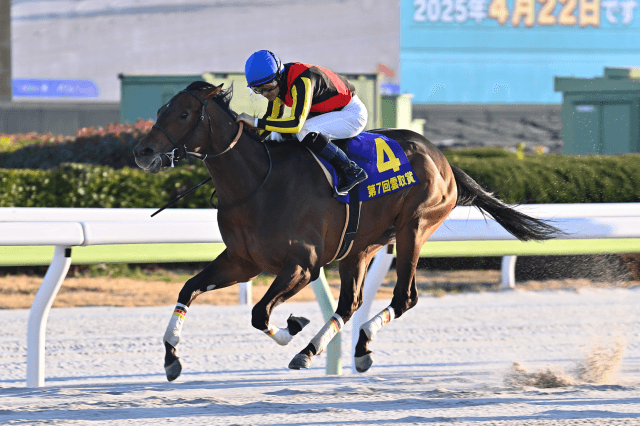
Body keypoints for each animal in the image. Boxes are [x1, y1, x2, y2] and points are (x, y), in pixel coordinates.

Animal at [133, 81, 560, 381]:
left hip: (414, 228)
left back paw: (341, 344)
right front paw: (171, 356)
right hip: (362, 246)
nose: (142, 152)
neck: (257, 183)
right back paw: (335, 349)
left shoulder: (302, 265)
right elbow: (188, 289)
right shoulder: (243, 261)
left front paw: (293, 326)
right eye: (161, 109)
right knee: (350, 303)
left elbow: (258, 313)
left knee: (404, 297)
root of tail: (442, 158)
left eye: (184, 113)